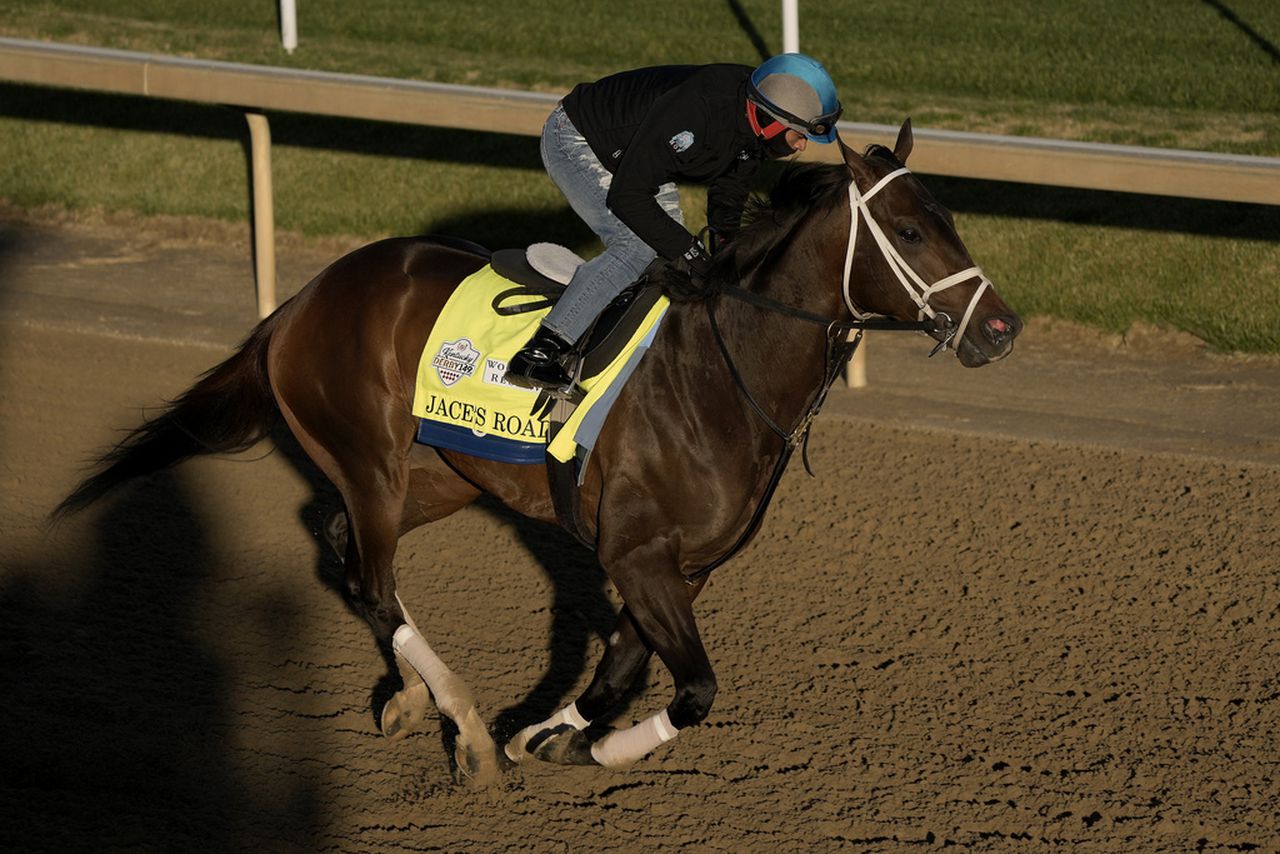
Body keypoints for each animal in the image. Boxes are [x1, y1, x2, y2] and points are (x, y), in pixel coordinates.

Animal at [55, 121, 1024, 788]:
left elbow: (618, 672)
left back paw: (416, 700)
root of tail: (297, 302)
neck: (722, 370)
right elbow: (693, 689)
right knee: (369, 574)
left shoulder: (687, 566)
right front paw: (549, 744)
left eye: (951, 219)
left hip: (435, 477)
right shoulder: (638, 556)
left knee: (344, 552)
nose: (1002, 329)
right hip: (373, 463)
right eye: (908, 231)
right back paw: (463, 726)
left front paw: (546, 732)